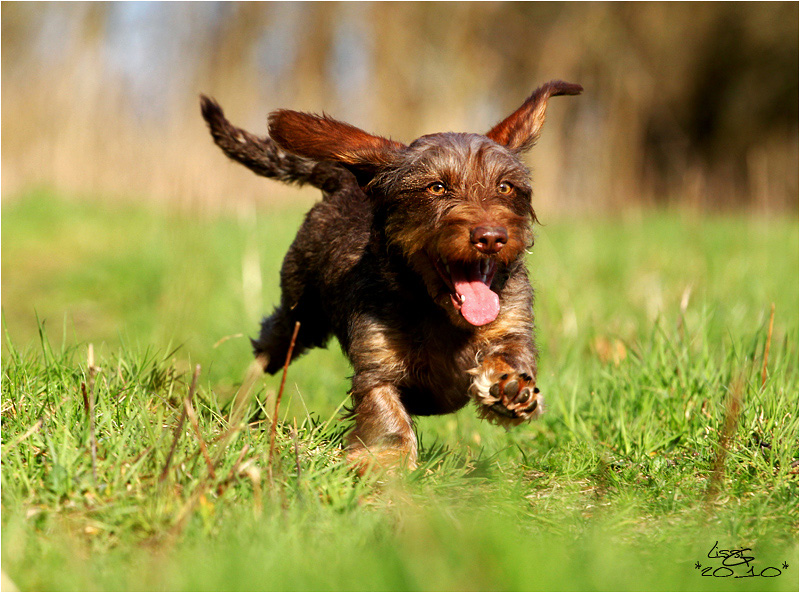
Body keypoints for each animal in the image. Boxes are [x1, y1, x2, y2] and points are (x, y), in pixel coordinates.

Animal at [200, 82, 580, 472]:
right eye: (437, 188)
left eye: (505, 187)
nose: (491, 237)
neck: (437, 311)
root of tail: (347, 183)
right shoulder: (377, 362)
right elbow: (384, 409)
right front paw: (384, 460)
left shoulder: (511, 322)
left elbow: (512, 352)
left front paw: (509, 386)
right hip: (300, 314)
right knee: (270, 343)